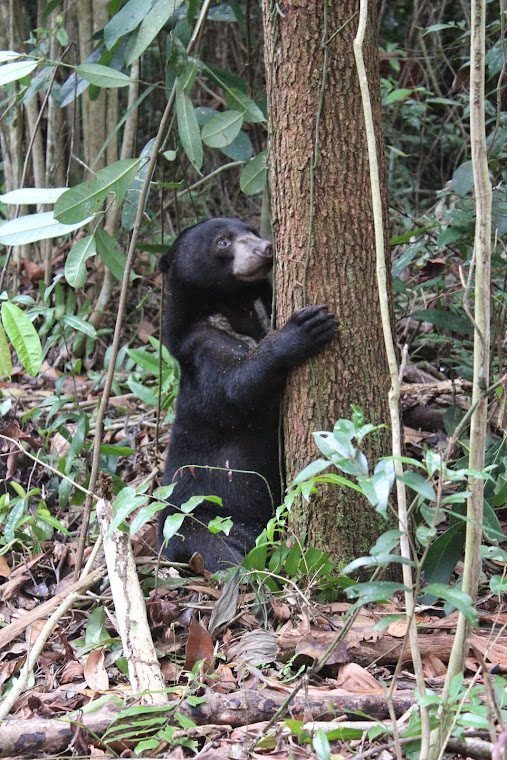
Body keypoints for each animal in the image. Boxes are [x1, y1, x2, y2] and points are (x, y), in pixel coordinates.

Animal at [157, 218, 336, 568]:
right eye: (222, 242)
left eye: (250, 230)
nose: (265, 248)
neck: (233, 307)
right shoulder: (201, 351)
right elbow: (238, 384)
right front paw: (304, 328)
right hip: (201, 520)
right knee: (225, 552)